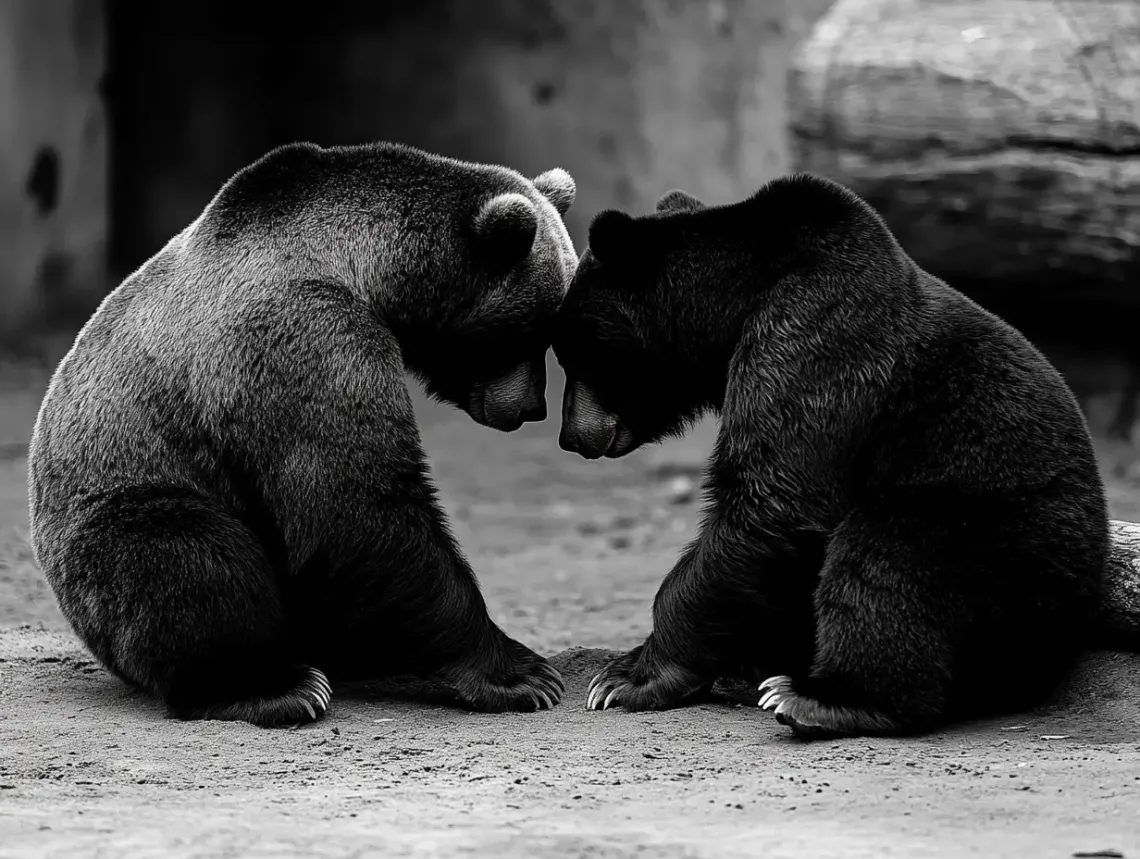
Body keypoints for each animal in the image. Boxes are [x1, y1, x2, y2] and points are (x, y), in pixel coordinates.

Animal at [26, 138, 579, 724]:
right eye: (534, 329)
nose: (531, 408)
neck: (366, 272)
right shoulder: (301, 342)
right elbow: (356, 508)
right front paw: (523, 673)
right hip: (118, 507)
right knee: (192, 557)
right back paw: (276, 685)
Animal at [556, 174, 1108, 738]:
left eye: (573, 352)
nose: (571, 436)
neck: (740, 303)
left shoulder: (818, 336)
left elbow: (775, 500)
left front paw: (625, 678)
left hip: (998, 539)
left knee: (888, 561)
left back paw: (817, 696)